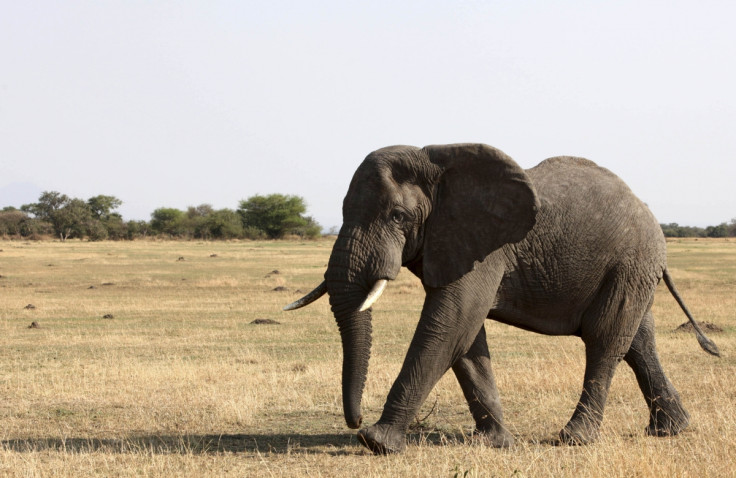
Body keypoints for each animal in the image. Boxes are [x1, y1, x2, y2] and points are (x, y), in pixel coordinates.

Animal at [284, 143, 720, 456]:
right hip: (631, 270)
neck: (436, 162)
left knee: (605, 339)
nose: (356, 422)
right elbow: (465, 336)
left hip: (630, 262)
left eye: (397, 216)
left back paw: (574, 439)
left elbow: (451, 322)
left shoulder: (487, 247)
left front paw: (377, 443)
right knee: (638, 341)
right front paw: (494, 443)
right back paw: (670, 430)